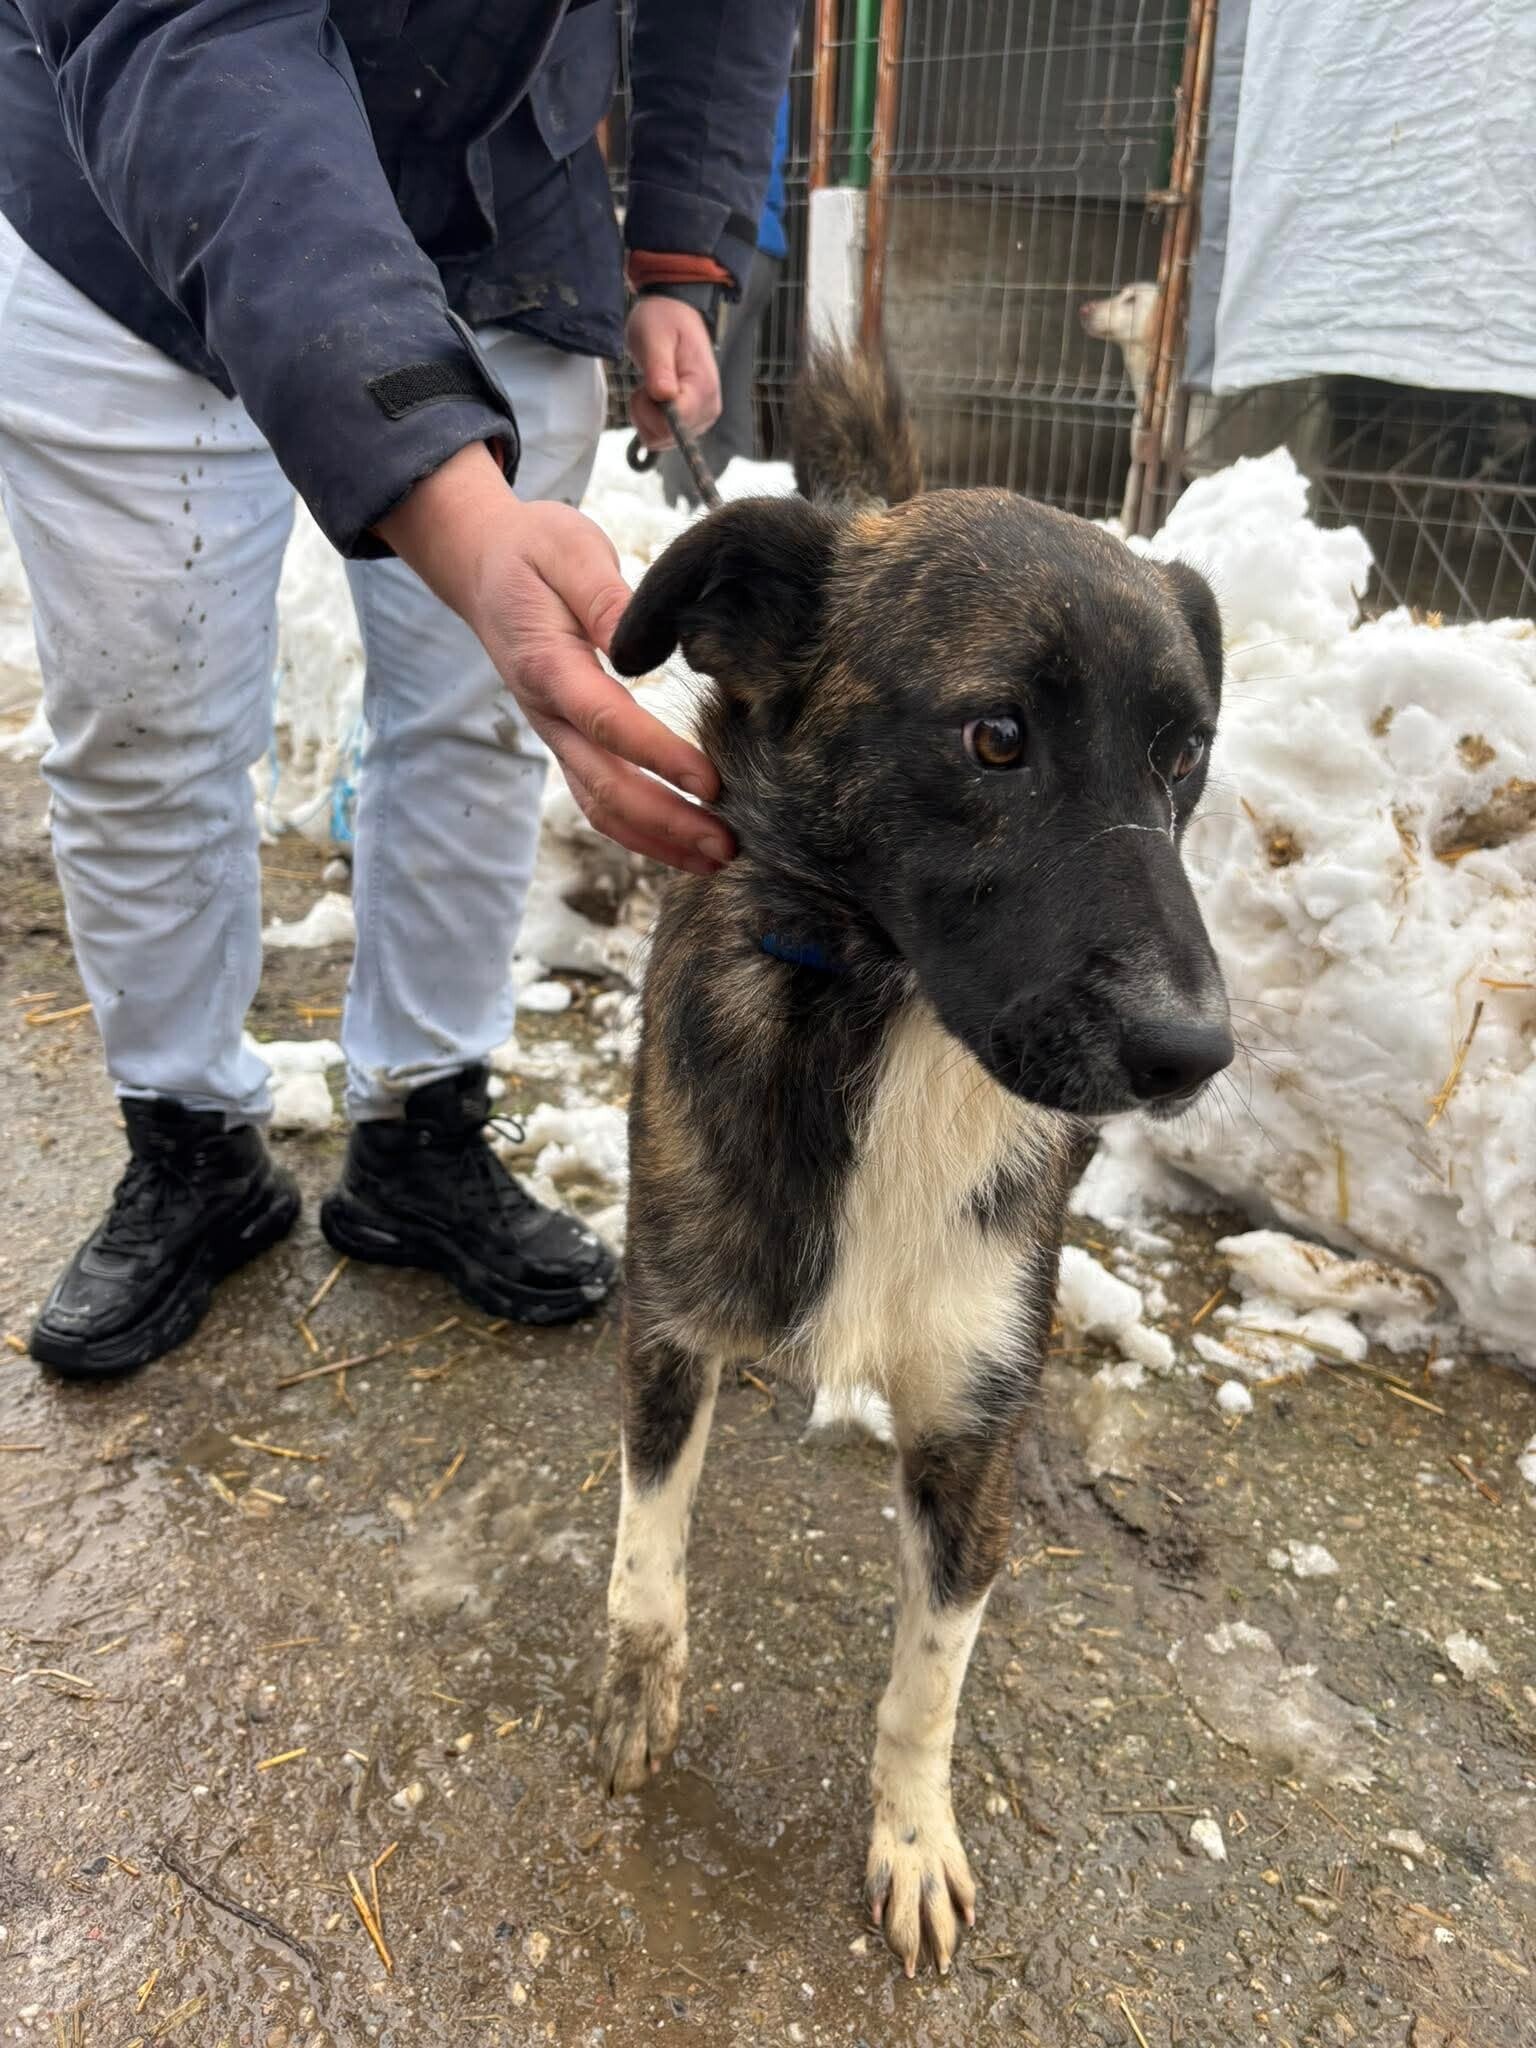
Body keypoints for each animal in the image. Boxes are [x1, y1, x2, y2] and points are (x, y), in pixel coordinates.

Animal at [593, 349, 1232, 1976]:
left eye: (1185, 754)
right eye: (994, 736)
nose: (1197, 1052)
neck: (892, 1025)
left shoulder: (968, 1432)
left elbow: (924, 1686)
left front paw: (912, 1844)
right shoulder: (667, 1332)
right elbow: (643, 1567)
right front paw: (639, 1697)